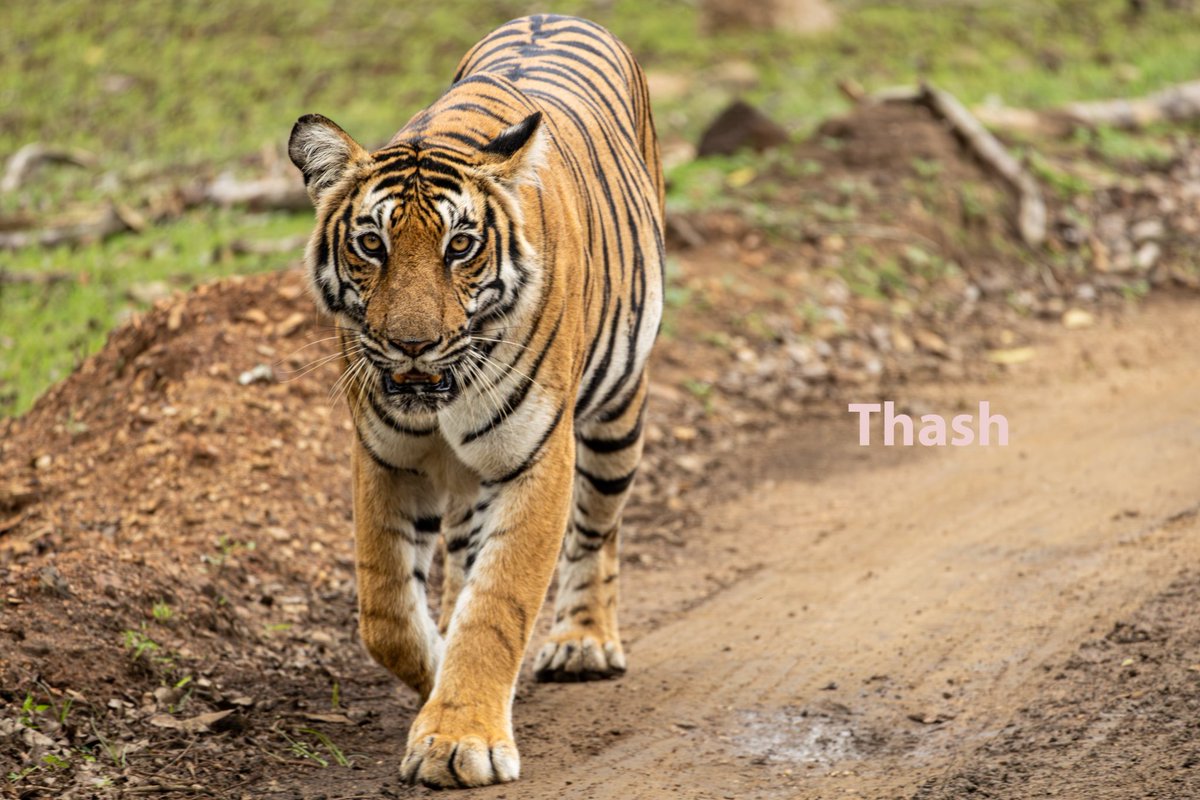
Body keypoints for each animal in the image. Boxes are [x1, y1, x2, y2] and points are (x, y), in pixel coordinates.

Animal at [288, 14, 664, 788]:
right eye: (370, 244)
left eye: (460, 246)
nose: (411, 344)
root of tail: (560, 14)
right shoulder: (387, 456)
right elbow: (386, 611)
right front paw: (438, 679)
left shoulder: (536, 457)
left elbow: (498, 602)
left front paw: (459, 739)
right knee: (462, 557)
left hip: (616, 416)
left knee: (598, 528)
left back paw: (584, 641)